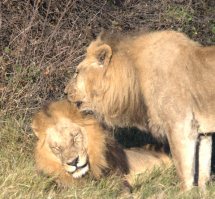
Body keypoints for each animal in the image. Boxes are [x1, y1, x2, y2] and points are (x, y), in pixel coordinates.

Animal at [65, 30, 215, 190]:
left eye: (77, 72)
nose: (65, 92)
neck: (134, 76)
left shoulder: (180, 126)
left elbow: (184, 171)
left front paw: (185, 192)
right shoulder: (203, 133)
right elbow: (203, 173)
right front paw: (201, 192)